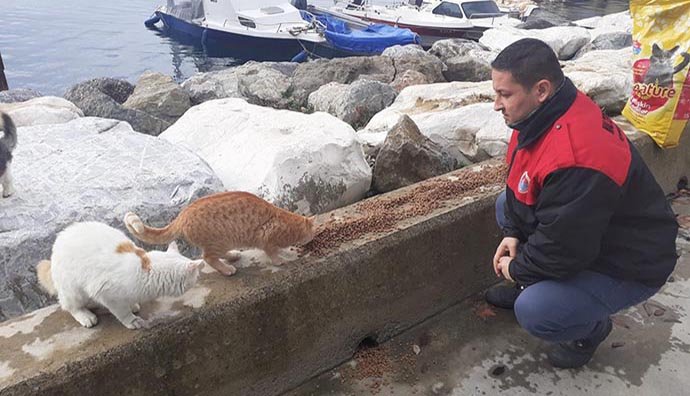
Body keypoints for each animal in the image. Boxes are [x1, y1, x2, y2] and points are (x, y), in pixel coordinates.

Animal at [37, 221, 203, 330]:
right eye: (196, 277)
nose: (199, 278)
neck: (145, 267)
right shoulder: (105, 292)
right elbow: (121, 311)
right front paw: (132, 320)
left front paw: (133, 304)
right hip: (72, 289)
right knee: (69, 306)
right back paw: (85, 316)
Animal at [123, 192, 314, 276]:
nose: (312, 237)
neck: (289, 222)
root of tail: (183, 214)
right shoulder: (267, 237)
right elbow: (271, 251)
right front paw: (279, 259)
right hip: (220, 241)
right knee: (208, 257)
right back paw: (227, 269)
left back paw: (233, 256)